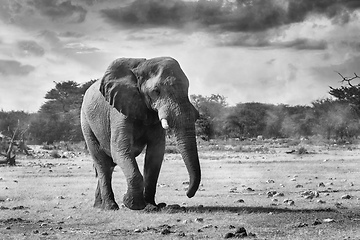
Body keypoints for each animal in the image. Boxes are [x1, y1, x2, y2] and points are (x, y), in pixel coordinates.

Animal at [80, 56, 201, 210]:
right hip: (86, 122)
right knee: (102, 163)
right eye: (156, 91)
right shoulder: (118, 110)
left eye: (187, 88)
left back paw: (99, 206)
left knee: (109, 165)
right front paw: (133, 204)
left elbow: (155, 155)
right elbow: (120, 150)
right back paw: (110, 206)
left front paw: (152, 206)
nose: (187, 193)